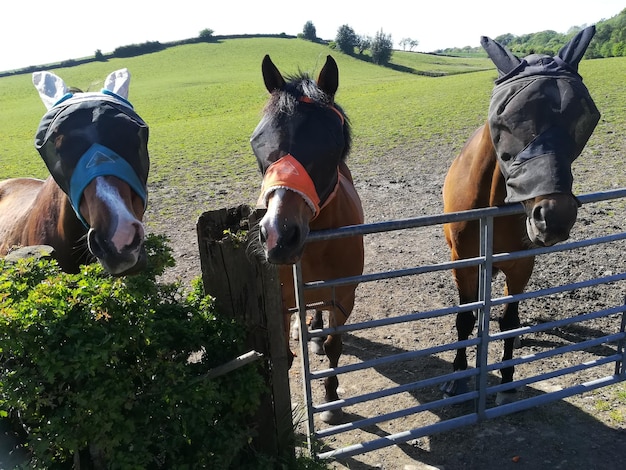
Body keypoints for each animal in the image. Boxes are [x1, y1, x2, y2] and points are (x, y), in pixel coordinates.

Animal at [250, 56, 364, 426]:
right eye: (258, 142)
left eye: (331, 144)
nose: (278, 235)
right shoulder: (281, 301)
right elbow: (283, 356)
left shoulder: (344, 296)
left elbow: (333, 347)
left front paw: (330, 402)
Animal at [442, 26, 596, 404]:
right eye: (507, 121)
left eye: (582, 120)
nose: (554, 217)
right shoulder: (464, 263)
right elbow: (465, 319)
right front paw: (458, 375)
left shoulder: (521, 264)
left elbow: (509, 322)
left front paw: (507, 379)